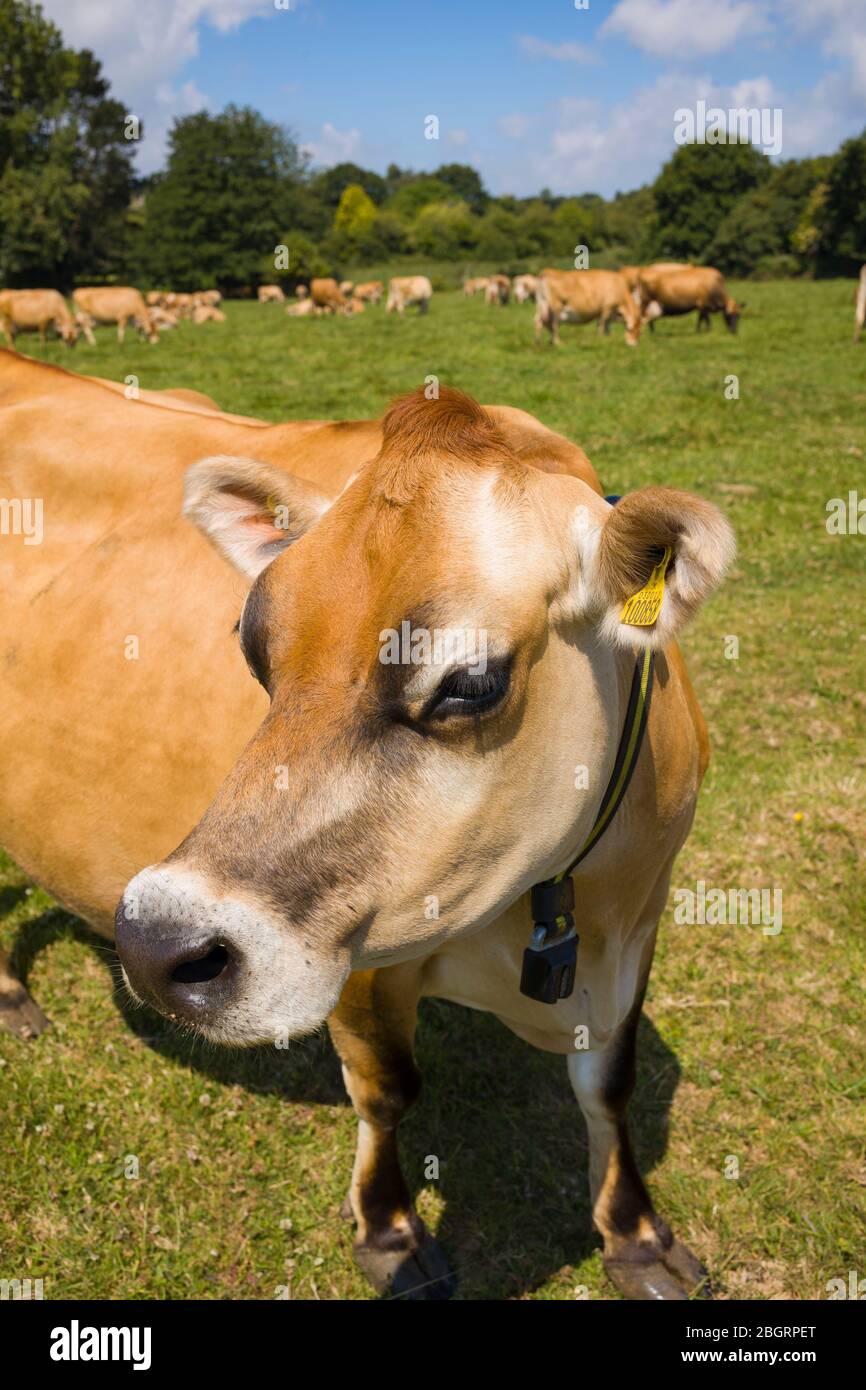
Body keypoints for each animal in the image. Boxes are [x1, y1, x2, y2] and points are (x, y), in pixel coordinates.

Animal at [0, 353, 733, 1295]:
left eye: (471, 683)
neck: (559, 909)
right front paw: (390, 1234)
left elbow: (608, 1080)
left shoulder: (644, 913)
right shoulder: (351, 947)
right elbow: (387, 1088)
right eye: (253, 646)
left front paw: (637, 1236)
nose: (154, 945)